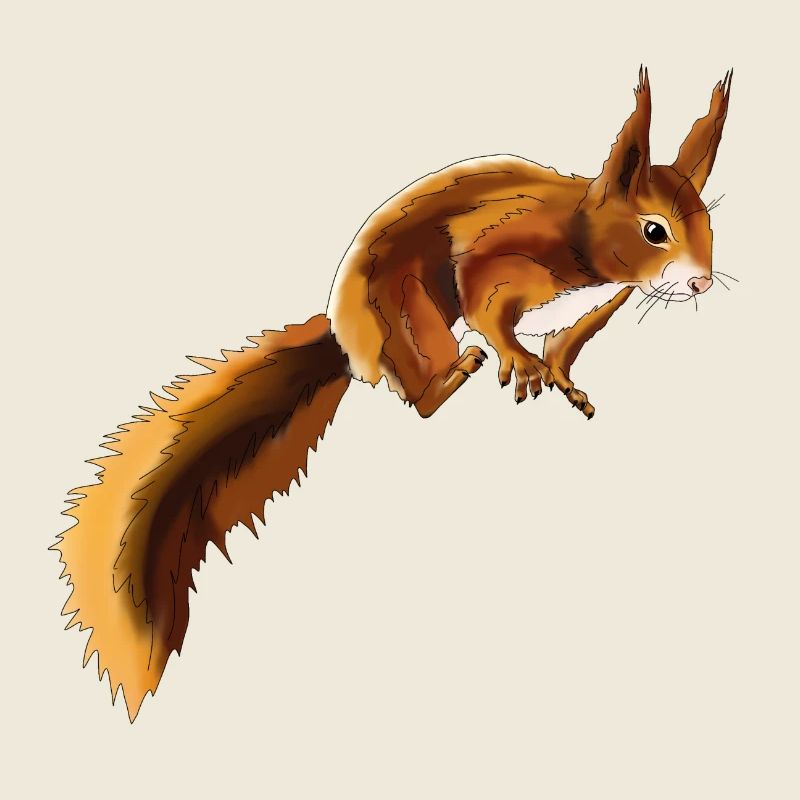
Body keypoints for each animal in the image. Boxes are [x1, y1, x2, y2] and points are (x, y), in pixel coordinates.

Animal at [53, 68, 732, 720]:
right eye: (653, 231)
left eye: (709, 224)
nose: (702, 282)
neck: (585, 243)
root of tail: (350, 342)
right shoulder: (502, 257)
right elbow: (486, 302)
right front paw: (518, 359)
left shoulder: (594, 311)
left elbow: (568, 347)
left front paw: (566, 382)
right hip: (413, 315)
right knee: (425, 396)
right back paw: (455, 375)